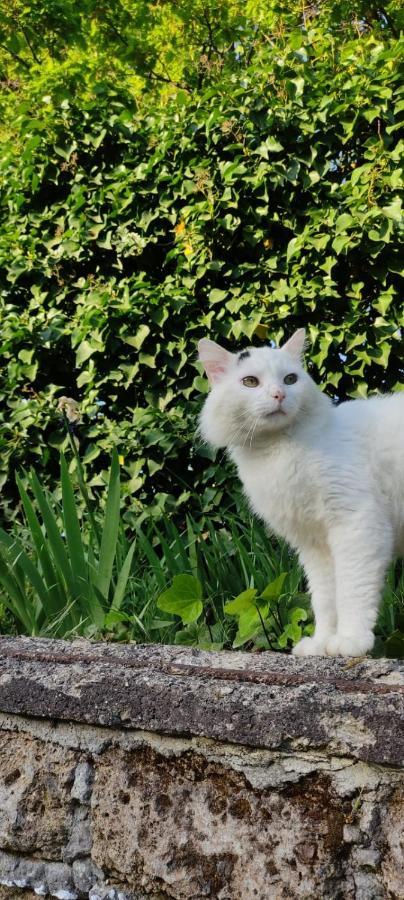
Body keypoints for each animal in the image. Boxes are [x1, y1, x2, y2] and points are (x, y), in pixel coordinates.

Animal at [198, 334, 404, 656]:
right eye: (250, 382)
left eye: (290, 379)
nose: (279, 395)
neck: (278, 450)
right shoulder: (315, 546)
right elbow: (325, 600)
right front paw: (320, 644)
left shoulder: (357, 526)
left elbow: (351, 591)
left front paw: (350, 641)